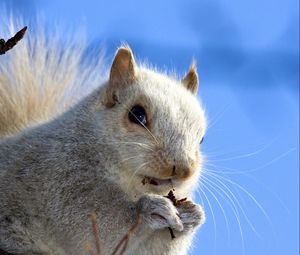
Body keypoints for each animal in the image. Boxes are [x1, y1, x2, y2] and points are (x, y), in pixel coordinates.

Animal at [0, 23, 206, 253]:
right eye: (137, 114)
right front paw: (147, 210)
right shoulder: (59, 178)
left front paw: (191, 216)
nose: (183, 170)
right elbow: (90, 223)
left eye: (201, 139)